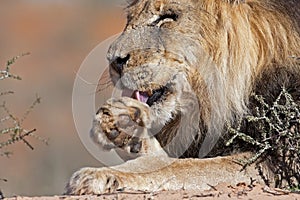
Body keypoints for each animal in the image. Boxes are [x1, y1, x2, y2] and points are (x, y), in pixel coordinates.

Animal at [66, 0, 300, 195]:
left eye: (167, 17)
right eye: (129, 18)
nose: (113, 61)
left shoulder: (279, 165)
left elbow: (186, 167)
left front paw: (101, 174)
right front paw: (124, 121)